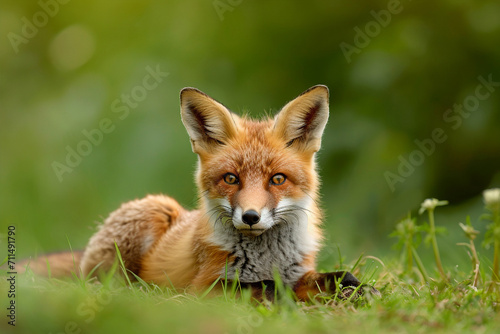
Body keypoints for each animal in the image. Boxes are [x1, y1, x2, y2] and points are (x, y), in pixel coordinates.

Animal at [23, 85, 376, 300]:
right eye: (231, 178)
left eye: (277, 179)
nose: (250, 217)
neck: (267, 258)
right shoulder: (206, 286)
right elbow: (262, 286)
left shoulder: (299, 270)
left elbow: (338, 275)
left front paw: (359, 289)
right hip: (153, 211)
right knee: (109, 283)